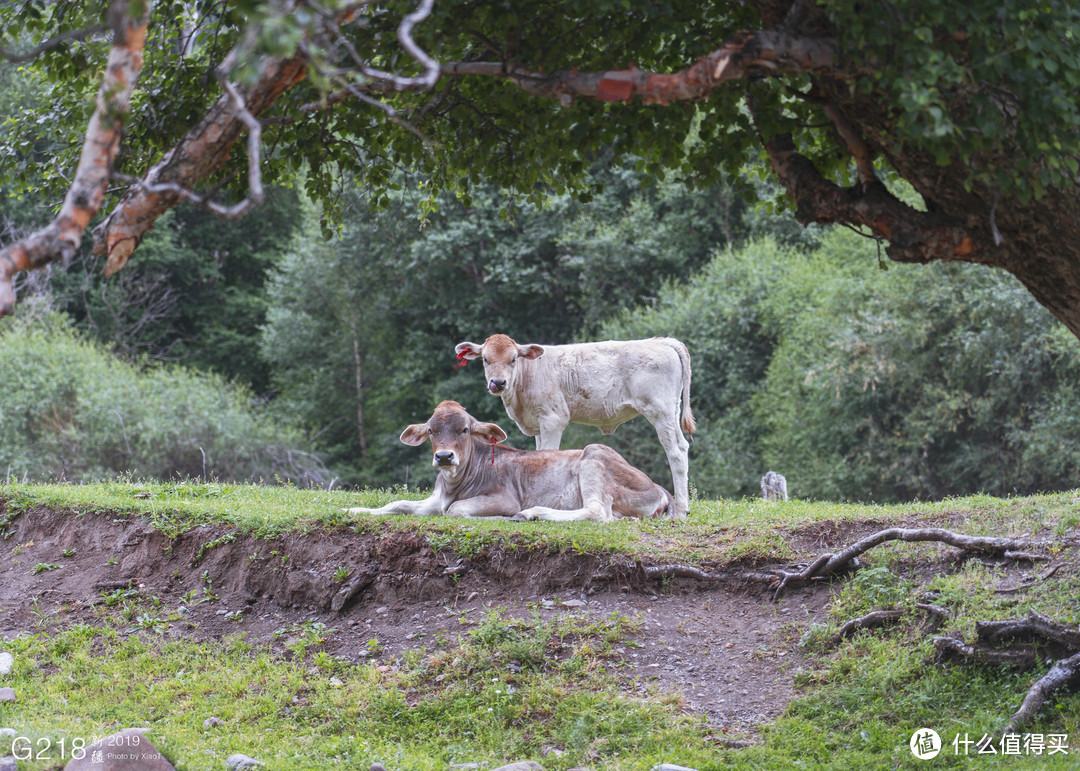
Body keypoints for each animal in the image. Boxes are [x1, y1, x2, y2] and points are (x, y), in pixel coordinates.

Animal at [453, 332, 691, 516]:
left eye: (513, 359)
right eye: (485, 359)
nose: (498, 382)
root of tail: (661, 341)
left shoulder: (552, 419)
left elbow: (548, 451)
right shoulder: (537, 424)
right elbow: (538, 452)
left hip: (660, 410)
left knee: (676, 453)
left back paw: (681, 510)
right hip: (672, 410)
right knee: (683, 446)